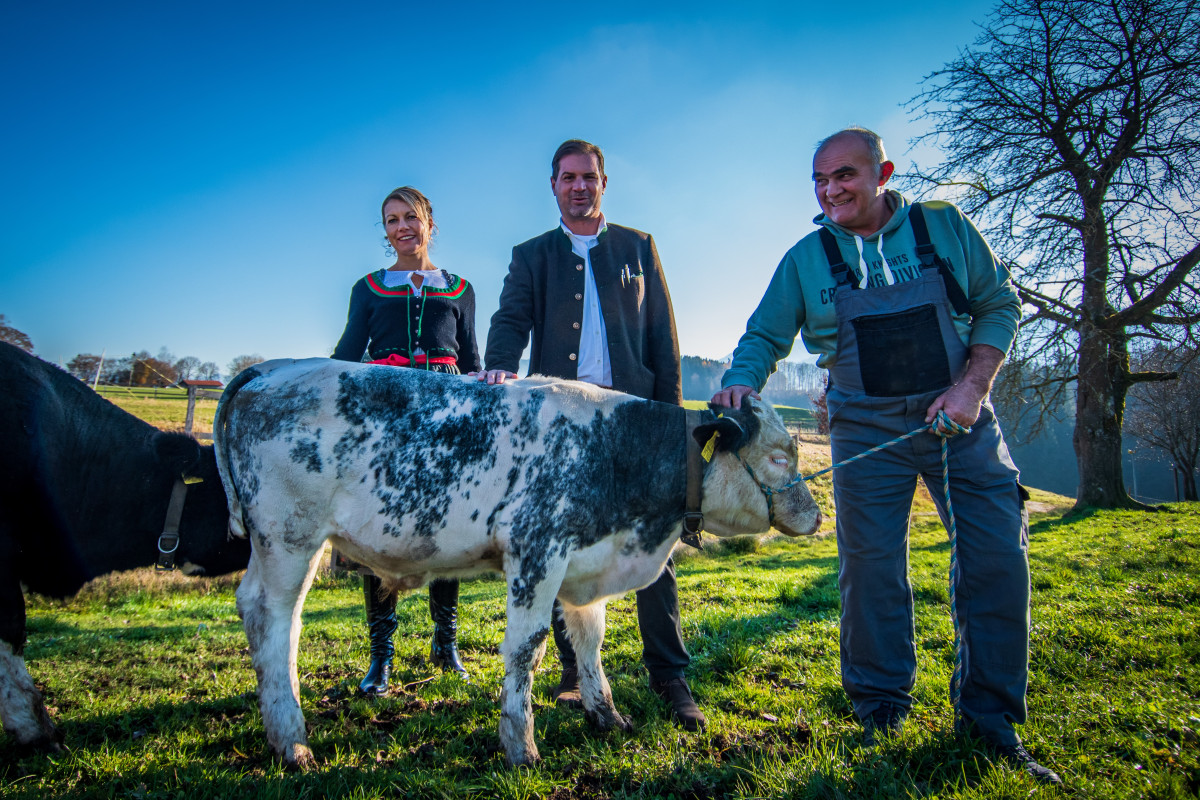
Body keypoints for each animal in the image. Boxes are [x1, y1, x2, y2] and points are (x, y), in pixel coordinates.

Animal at [211, 359, 820, 767]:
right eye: (778, 456)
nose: (815, 515)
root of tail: (271, 368)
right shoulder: (537, 551)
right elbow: (528, 649)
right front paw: (520, 746)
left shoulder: (584, 566)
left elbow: (590, 643)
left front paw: (607, 716)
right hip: (290, 538)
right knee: (276, 621)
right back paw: (292, 740)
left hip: (276, 545)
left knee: (253, 609)